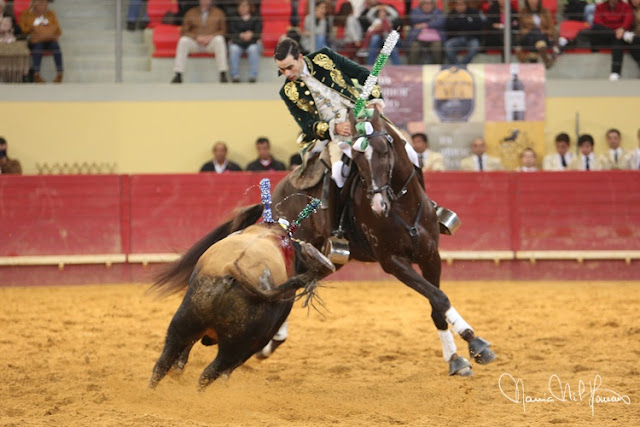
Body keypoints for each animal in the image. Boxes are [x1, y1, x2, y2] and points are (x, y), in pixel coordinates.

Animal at [148, 217, 334, 390]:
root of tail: (231, 273)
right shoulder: (258, 340)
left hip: (184, 322)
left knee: (163, 363)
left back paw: (153, 392)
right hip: (237, 345)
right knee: (210, 372)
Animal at [155, 108, 495, 376]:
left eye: (385, 149)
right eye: (357, 159)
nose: (378, 205)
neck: (402, 207)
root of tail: (278, 193)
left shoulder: (430, 255)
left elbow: (437, 302)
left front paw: (459, 355)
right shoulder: (393, 262)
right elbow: (438, 298)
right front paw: (473, 346)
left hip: (325, 256)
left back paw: (270, 342)